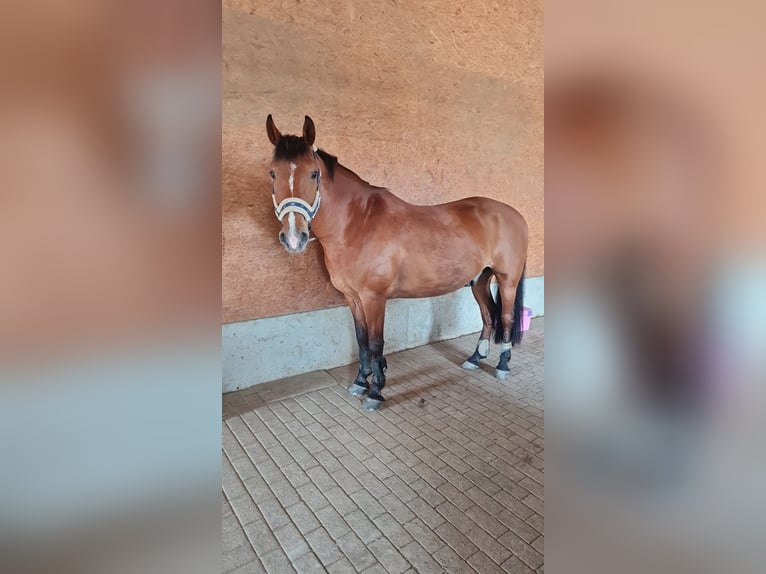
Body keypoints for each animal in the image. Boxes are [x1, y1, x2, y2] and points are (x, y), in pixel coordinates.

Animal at [265, 114, 528, 411]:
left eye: (313, 173)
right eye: (273, 173)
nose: (293, 237)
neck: (357, 223)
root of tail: (515, 214)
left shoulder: (374, 298)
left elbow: (376, 342)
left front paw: (375, 391)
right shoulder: (352, 297)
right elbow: (362, 339)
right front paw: (360, 381)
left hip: (507, 280)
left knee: (506, 317)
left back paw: (503, 366)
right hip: (479, 280)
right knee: (487, 315)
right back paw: (474, 358)